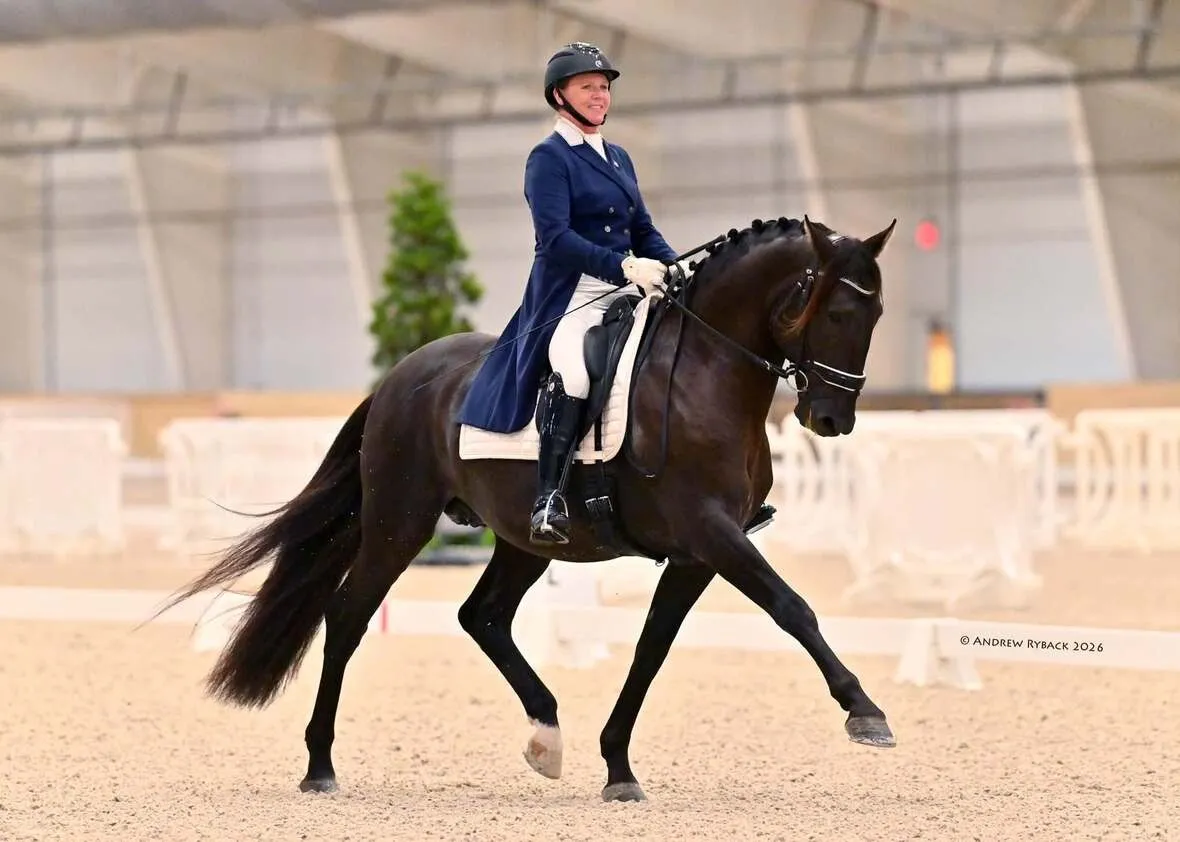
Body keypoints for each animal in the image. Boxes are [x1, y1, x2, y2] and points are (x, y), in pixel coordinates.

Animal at [162, 213, 898, 804]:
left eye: (877, 316)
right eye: (837, 313)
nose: (831, 419)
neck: (707, 375)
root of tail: (403, 374)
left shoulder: (696, 553)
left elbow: (652, 647)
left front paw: (618, 767)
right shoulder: (711, 532)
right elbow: (792, 608)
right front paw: (865, 712)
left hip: (523, 537)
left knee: (482, 616)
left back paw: (546, 734)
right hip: (400, 522)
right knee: (348, 616)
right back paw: (320, 766)